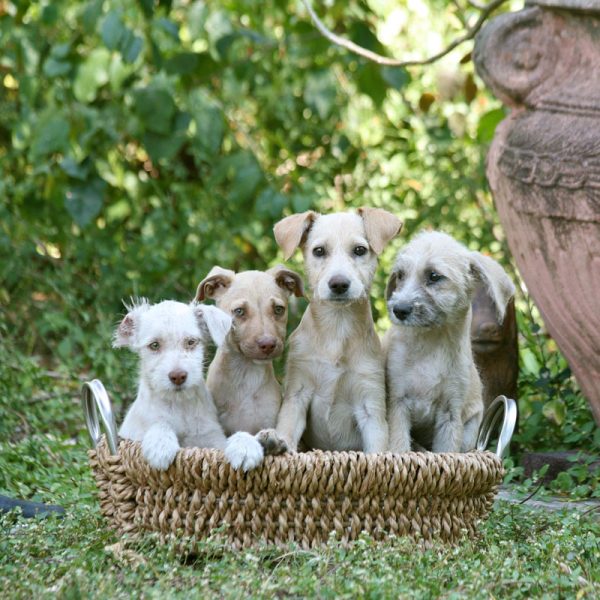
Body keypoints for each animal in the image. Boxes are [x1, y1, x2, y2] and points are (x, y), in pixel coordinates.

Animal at [116, 298, 266, 472]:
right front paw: (161, 446)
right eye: (154, 345)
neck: (180, 404)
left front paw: (246, 447)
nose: (178, 376)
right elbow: (160, 424)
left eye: (191, 342)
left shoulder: (212, 440)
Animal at [264, 206, 400, 450]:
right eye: (319, 251)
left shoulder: (371, 407)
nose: (338, 284)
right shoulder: (297, 394)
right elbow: (287, 431)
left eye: (359, 250)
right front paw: (279, 444)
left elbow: (376, 450)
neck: (337, 326)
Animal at [384, 232, 516, 452]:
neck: (430, 343)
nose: (399, 310)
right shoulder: (397, 405)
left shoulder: (451, 413)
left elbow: (446, 452)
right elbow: (399, 447)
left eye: (434, 276)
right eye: (401, 275)